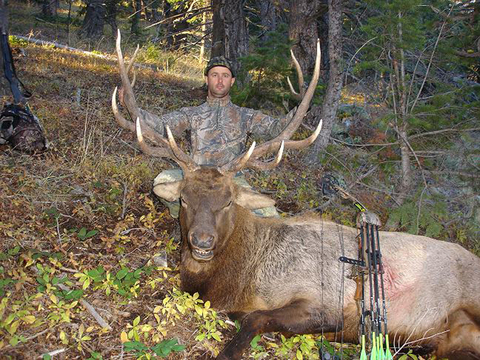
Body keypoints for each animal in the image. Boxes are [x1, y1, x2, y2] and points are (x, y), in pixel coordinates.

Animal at [110, 32, 480, 358]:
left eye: (228, 201)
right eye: (185, 198)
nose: (202, 241)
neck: (239, 281)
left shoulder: (326, 301)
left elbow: (253, 319)